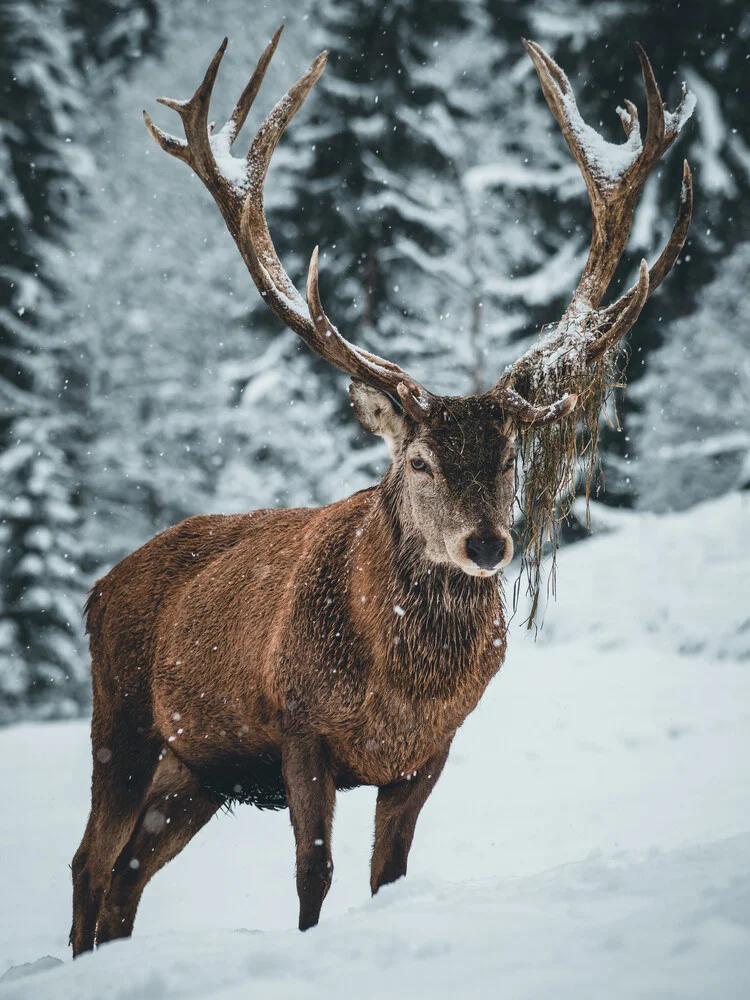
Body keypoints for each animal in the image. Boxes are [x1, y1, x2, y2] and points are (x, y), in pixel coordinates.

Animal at [69, 27, 692, 956]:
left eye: (509, 457)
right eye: (421, 461)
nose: (486, 544)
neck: (401, 689)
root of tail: (97, 589)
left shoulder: (429, 751)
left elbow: (388, 877)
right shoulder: (300, 727)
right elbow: (314, 874)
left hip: (199, 767)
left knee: (127, 878)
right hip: (124, 721)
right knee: (89, 863)